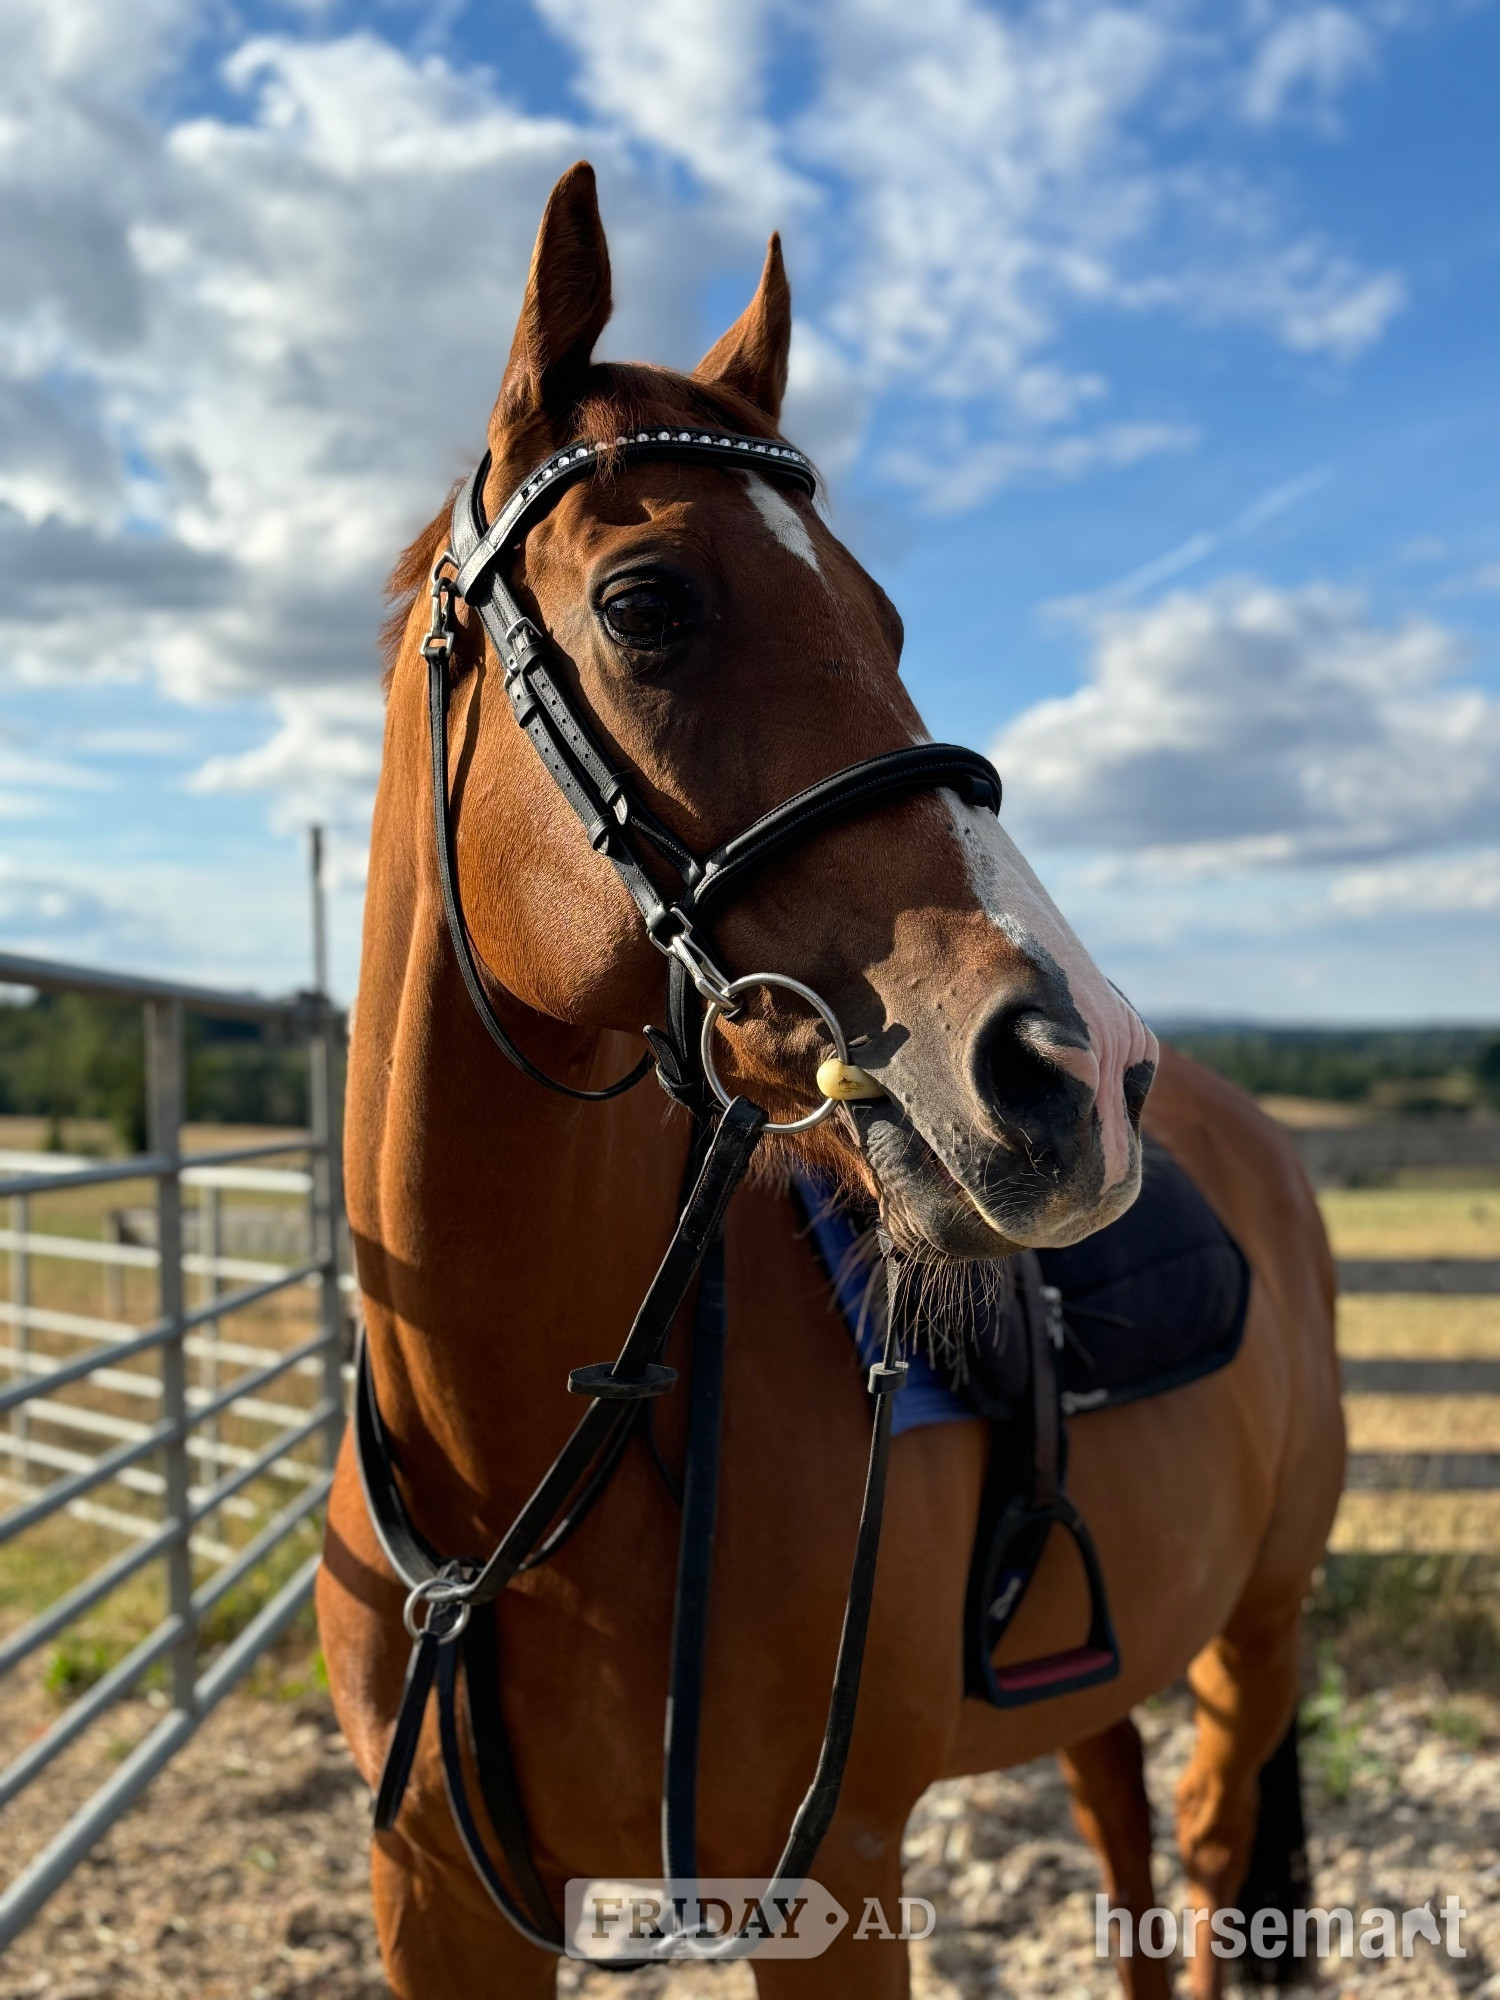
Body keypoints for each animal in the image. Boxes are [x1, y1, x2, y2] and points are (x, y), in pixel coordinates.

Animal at [316, 161, 1345, 2000]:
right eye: (647, 604)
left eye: (888, 619)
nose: (1081, 1063)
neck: (518, 1468)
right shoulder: (432, 1902)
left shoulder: (838, 1882)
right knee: (1125, 1833)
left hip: (1261, 1630)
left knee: (1215, 1859)